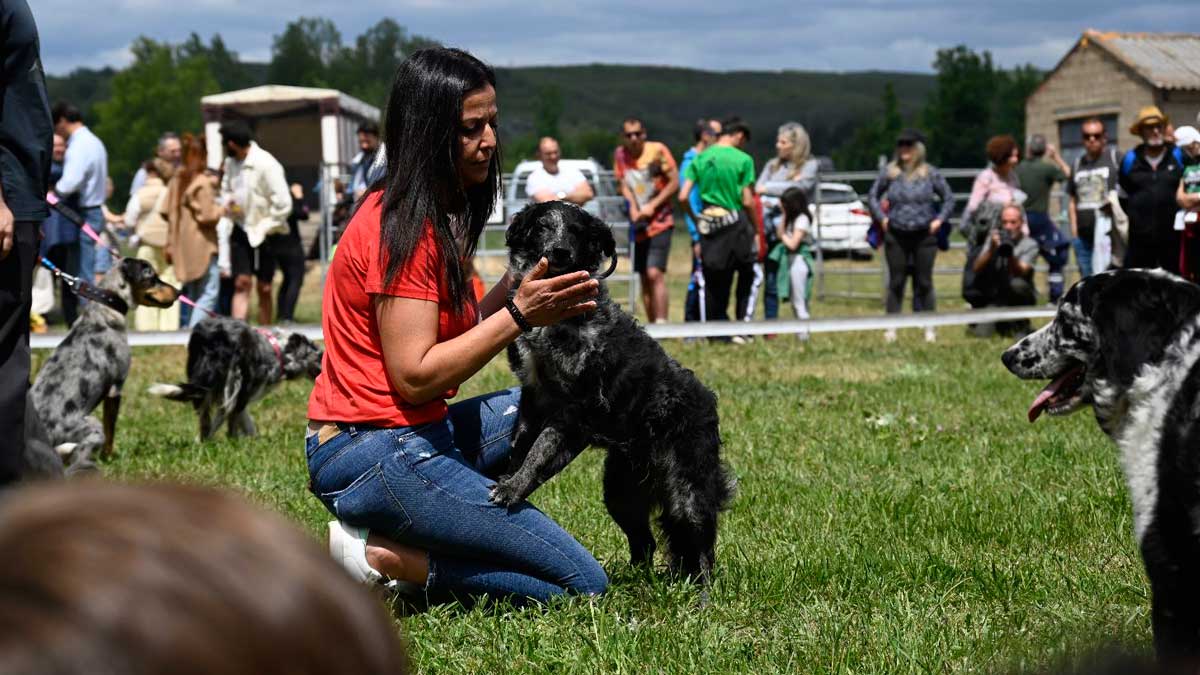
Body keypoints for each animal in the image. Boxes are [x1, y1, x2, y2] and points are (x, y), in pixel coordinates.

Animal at [29, 254, 177, 470]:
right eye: (152, 277)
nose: (179, 292)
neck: (107, 308)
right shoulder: (115, 388)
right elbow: (110, 431)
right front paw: (109, 458)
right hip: (91, 424)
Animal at [152, 317, 326, 441]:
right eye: (319, 355)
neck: (277, 349)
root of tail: (214, 339)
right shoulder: (242, 393)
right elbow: (234, 419)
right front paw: (239, 441)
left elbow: (241, 420)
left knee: (204, 415)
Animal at [492, 199, 734, 583]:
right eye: (543, 225)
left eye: (577, 231)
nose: (560, 252)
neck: (557, 321)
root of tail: (707, 403)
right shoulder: (533, 394)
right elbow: (521, 444)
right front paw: (510, 477)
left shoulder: (574, 410)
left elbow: (539, 451)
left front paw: (513, 487)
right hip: (621, 491)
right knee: (646, 544)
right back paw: (633, 582)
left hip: (687, 491)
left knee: (702, 546)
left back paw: (703, 591)